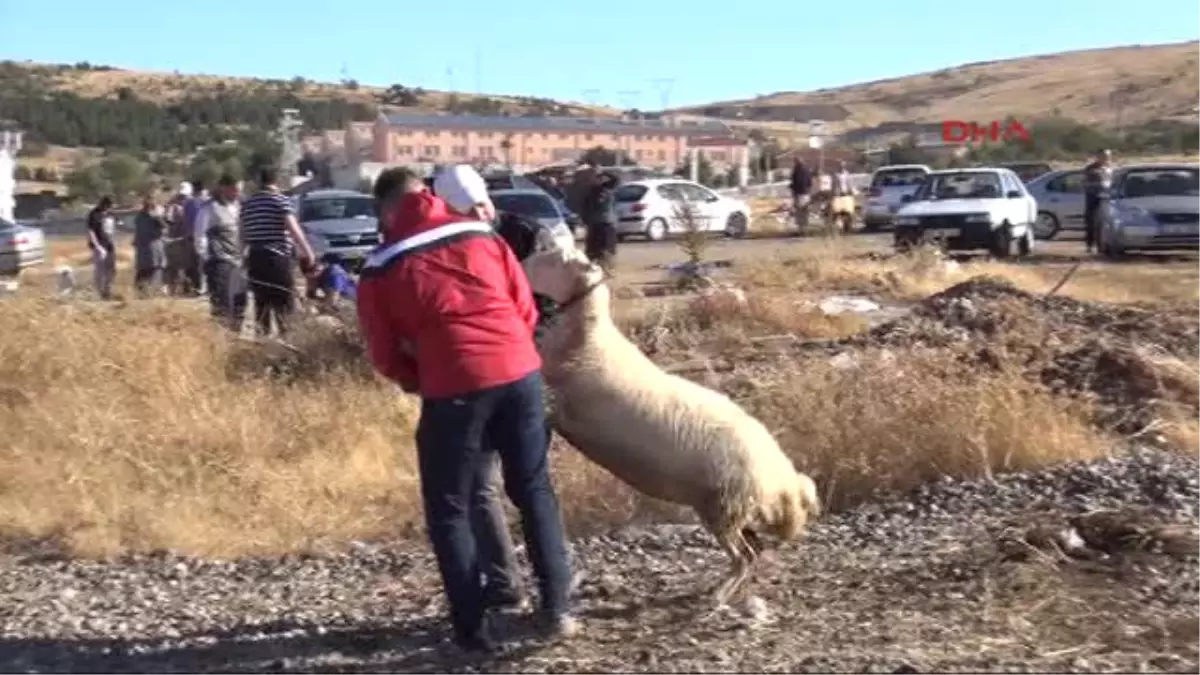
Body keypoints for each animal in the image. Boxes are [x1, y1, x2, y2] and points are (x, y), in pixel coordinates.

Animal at [528, 247, 825, 605]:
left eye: (556, 259)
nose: (525, 261)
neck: (590, 337)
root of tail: (787, 484)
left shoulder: (562, 406)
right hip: (735, 510)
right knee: (755, 550)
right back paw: (723, 589)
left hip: (724, 507)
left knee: (743, 556)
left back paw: (718, 595)